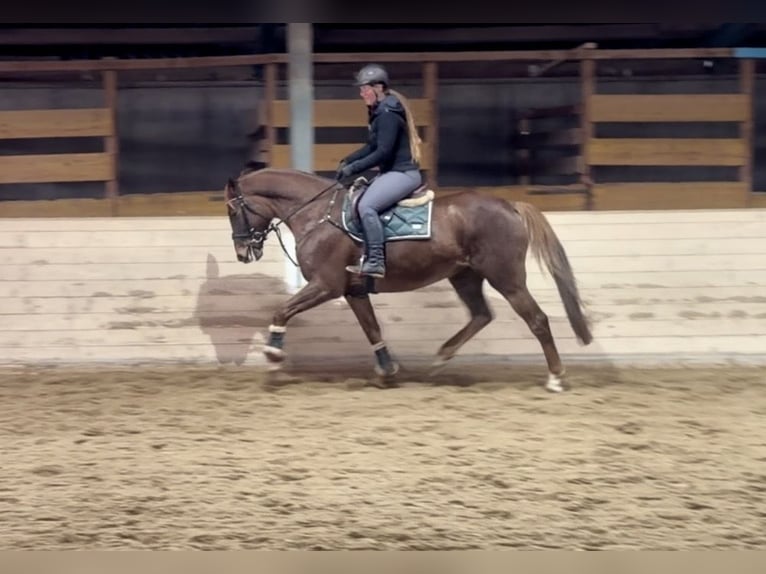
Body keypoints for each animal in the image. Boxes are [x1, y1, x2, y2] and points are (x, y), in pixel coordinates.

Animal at [223, 166, 593, 392]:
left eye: (232, 209)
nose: (242, 252)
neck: (318, 215)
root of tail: (511, 206)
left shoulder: (326, 286)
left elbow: (281, 310)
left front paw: (273, 356)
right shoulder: (353, 291)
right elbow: (372, 329)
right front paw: (388, 371)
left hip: (507, 278)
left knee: (537, 320)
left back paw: (555, 378)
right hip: (466, 276)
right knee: (481, 315)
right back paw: (441, 357)